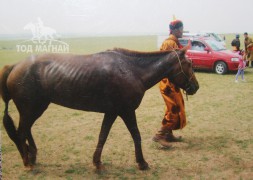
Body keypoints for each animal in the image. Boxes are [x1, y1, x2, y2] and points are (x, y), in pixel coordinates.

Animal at [0, 46, 199, 170]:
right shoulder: (126, 111)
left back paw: (32, 155)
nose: (195, 87)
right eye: (189, 64)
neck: (132, 70)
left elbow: (102, 135)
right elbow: (136, 135)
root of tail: (14, 66)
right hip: (30, 109)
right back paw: (27, 161)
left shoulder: (111, 112)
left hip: (35, 108)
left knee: (26, 131)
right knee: (21, 132)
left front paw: (97, 162)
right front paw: (142, 163)